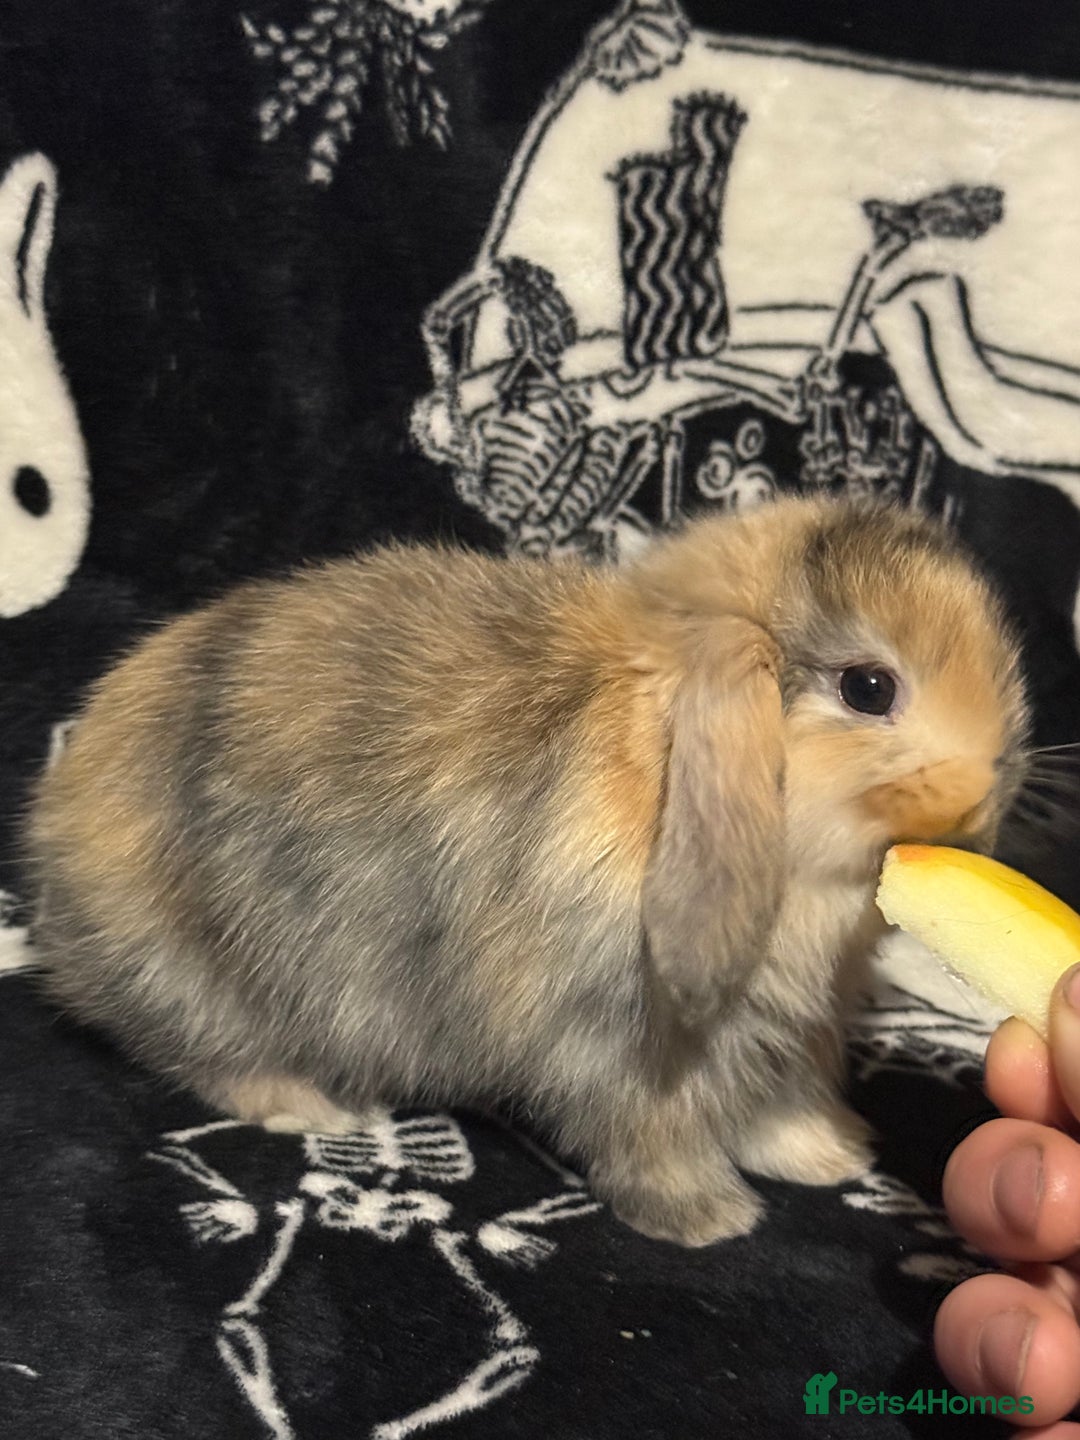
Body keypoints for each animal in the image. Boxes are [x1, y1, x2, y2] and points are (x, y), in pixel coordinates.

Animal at [24, 495, 1029, 1246]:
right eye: (869, 688)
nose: (988, 791)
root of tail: (52, 863)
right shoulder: (617, 1047)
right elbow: (648, 1134)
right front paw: (707, 1218)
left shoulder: (772, 1038)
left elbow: (769, 1108)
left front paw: (829, 1156)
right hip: (193, 977)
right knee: (199, 1054)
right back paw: (309, 1107)